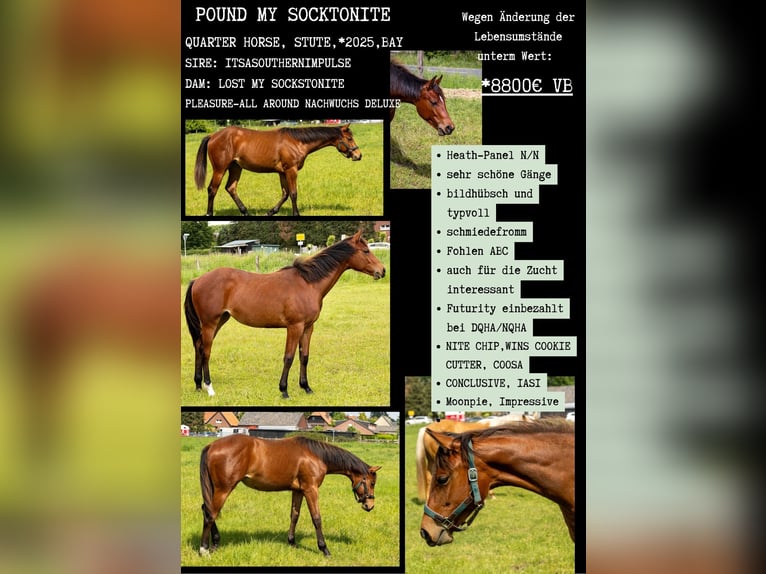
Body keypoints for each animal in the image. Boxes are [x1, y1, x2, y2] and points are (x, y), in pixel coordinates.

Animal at [184, 231, 385, 398]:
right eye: (366, 251)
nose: (382, 271)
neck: (308, 283)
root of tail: (197, 280)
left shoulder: (308, 327)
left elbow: (304, 357)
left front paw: (306, 387)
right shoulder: (294, 327)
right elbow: (288, 357)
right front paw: (284, 390)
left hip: (219, 321)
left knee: (199, 347)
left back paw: (198, 385)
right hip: (210, 323)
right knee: (206, 351)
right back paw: (209, 388)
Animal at [193, 123, 362, 216]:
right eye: (349, 139)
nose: (358, 155)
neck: (297, 142)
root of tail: (213, 135)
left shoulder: (282, 172)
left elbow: (285, 194)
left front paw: (271, 212)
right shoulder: (291, 170)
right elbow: (293, 193)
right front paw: (296, 214)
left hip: (236, 167)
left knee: (231, 188)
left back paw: (245, 211)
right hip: (220, 169)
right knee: (212, 189)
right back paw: (209, 213)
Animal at [199, 433, 381, 556]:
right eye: (372, 483)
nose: (370, 505)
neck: (316, 455)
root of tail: (211, 446)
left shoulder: (298, 491)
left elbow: (294, 515)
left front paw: (292, 542)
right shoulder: (311, 489)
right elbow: (317, 518)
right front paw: (324, 549)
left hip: (216, 489)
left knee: (207, 509)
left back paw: (214, 543)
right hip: (224, 489)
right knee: (210, 514)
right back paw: (204, 549)